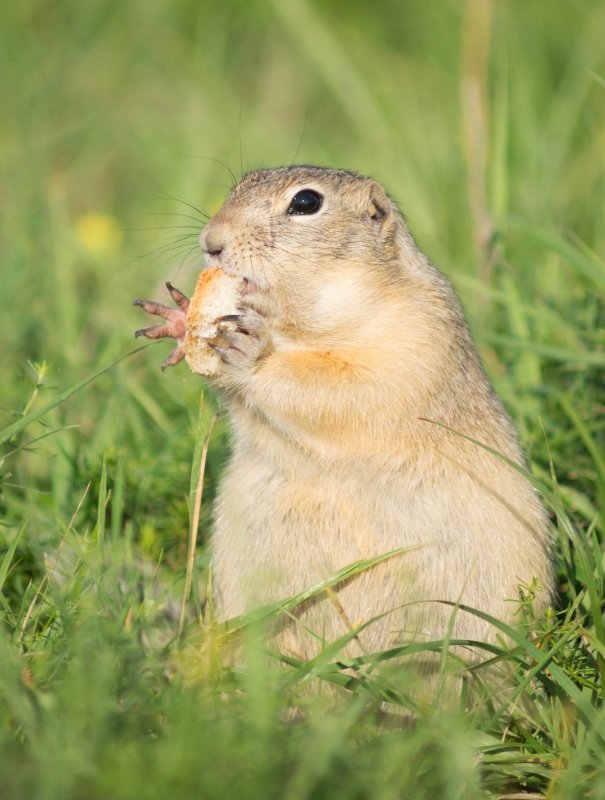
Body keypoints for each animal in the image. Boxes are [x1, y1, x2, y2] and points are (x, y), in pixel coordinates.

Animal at [136, 166, 552, 680]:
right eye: (242, 182)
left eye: (306, 203)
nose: (211, 242)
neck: (298, 329)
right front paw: (178, 320)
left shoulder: (412, 341)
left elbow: (338, 388)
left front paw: (251, 353)